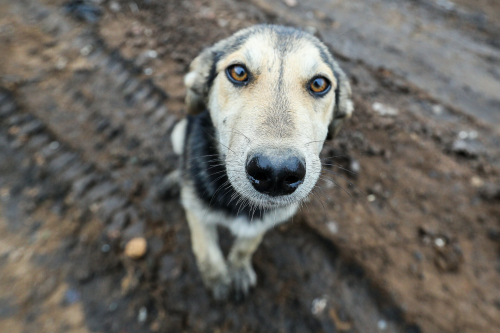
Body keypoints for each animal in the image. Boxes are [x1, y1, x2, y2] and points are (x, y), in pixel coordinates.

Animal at [170, 24, 354, 300]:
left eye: (319, 83)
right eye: (238, 72)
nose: (277, 173)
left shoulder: (265, 223)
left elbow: (247, 245)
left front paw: (237, 270)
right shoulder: (196, 211)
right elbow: (205, 249)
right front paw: (217, 279)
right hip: (178, 132)